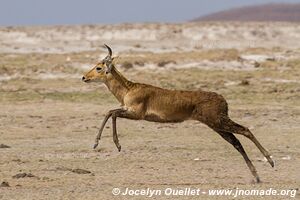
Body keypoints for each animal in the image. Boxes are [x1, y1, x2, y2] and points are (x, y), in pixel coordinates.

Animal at [82, 45, 274, 183]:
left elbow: (111, 113)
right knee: (237, 143)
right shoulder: (127, 110)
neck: (129, 89)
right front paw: (100, 143)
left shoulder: (136, 114)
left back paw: (270, 161)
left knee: (245, 130)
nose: (84, 77)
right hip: (217, 126)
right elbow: (110, 112)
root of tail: (222, 99)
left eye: (99, 67)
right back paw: (257, 176)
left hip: (219, 122)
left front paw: (112, 144)